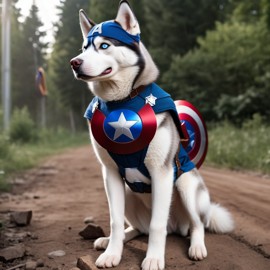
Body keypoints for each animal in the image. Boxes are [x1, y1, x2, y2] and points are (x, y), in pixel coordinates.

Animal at [70, 1, 233, 268]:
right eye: (84, 48)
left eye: (104, 46)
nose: (74, 62)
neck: (123, 102)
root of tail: (176, 226)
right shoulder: (110, 174)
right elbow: (115, 220)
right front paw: (112, 253)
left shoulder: (162, 172)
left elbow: (158, 225)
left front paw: (154, 258)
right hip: (128, 192)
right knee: (138, 228)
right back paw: (110, 240)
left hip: (186, 186)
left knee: (195, 224)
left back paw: (197, 246)